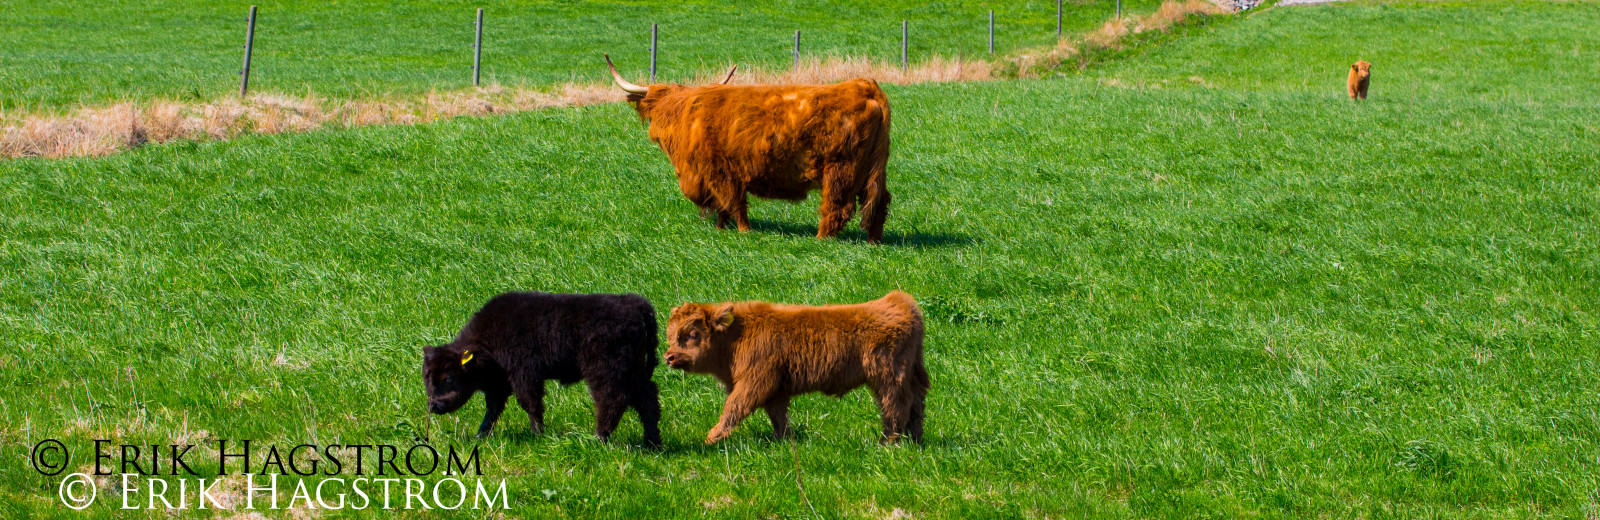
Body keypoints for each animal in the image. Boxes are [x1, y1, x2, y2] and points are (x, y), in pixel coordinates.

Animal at [422, 292, 662, 447]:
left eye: (448, 378)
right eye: (426, 378)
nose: (434, 405)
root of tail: (633, 303)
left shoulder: (525, 375)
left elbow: (530, 404)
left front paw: (538, 436)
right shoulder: (499, 384)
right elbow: (493, 409)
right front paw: (480, 436)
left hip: (605, 371)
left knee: (612, 400)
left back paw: (597, 439)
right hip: (634, 371)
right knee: (647, 400)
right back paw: (651, 443)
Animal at [605, 54, 894, 244]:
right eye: (657, 109)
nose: (657, 132)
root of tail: (865, 86)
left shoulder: (721, 171)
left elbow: (733, 202)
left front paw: (744, 232)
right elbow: (722, 205)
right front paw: (722, 229)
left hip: (840, 169)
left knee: (837, 207)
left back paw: (820, 239)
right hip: (873, 169)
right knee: (878, 202)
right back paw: (874, 241)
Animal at [664, 291, 928, 444]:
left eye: (693, 334)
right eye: (671, 335)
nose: (669, 357)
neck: (737, 336)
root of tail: (900, 301)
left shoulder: (755, 382)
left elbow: (734, 407)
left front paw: (712, 437)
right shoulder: (776, 390)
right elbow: (778, 416)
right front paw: (783, 440)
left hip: (888, 376)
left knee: (897, 405)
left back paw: (889, 441)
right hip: (912, 374)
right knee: (916, 404)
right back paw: (914, 438)